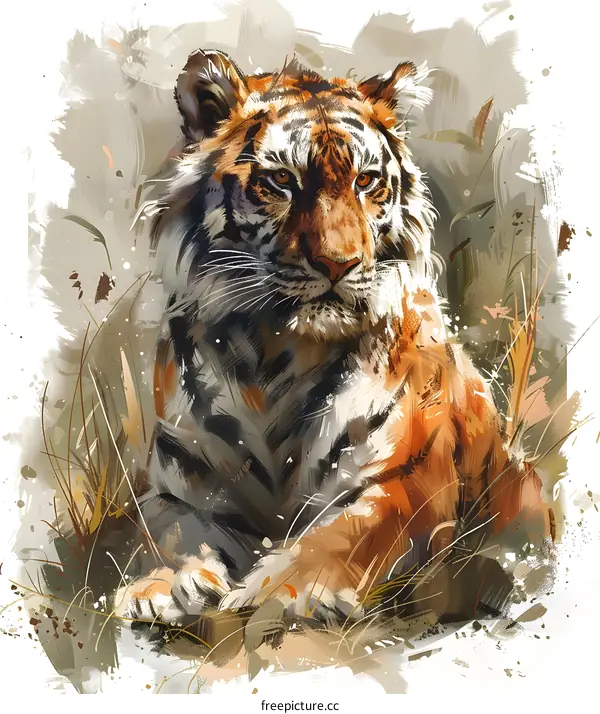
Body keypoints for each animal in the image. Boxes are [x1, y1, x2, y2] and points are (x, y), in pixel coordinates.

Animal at [117, 49, 553, 639]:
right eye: (280, 180)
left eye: (367, 181)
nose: (338, 263)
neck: (275, 356)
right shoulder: (180, 483)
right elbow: (166, 530)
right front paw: (158, 585)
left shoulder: (403, 480)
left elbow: (339, 535)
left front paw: (274, 590)